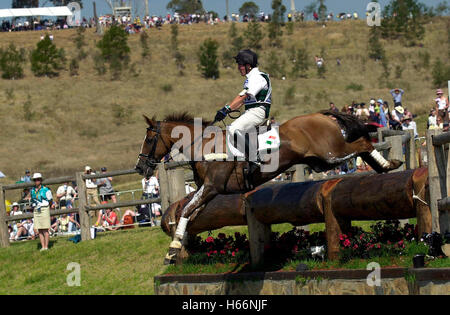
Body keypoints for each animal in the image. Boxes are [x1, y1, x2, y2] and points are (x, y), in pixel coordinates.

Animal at [135, 111, 402, 264]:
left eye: (149, 139)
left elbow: (188, 210)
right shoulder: (205, 190)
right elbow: (186, 212)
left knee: (362, 145)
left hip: (331, 154)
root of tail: (322, 114)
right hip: (321, 160)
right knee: (362, 149)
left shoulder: (212, 187)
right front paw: (175, 246)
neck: (204, 144)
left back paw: (390, 163)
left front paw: (173, 247)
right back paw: (385, 166)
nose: (140, 167)